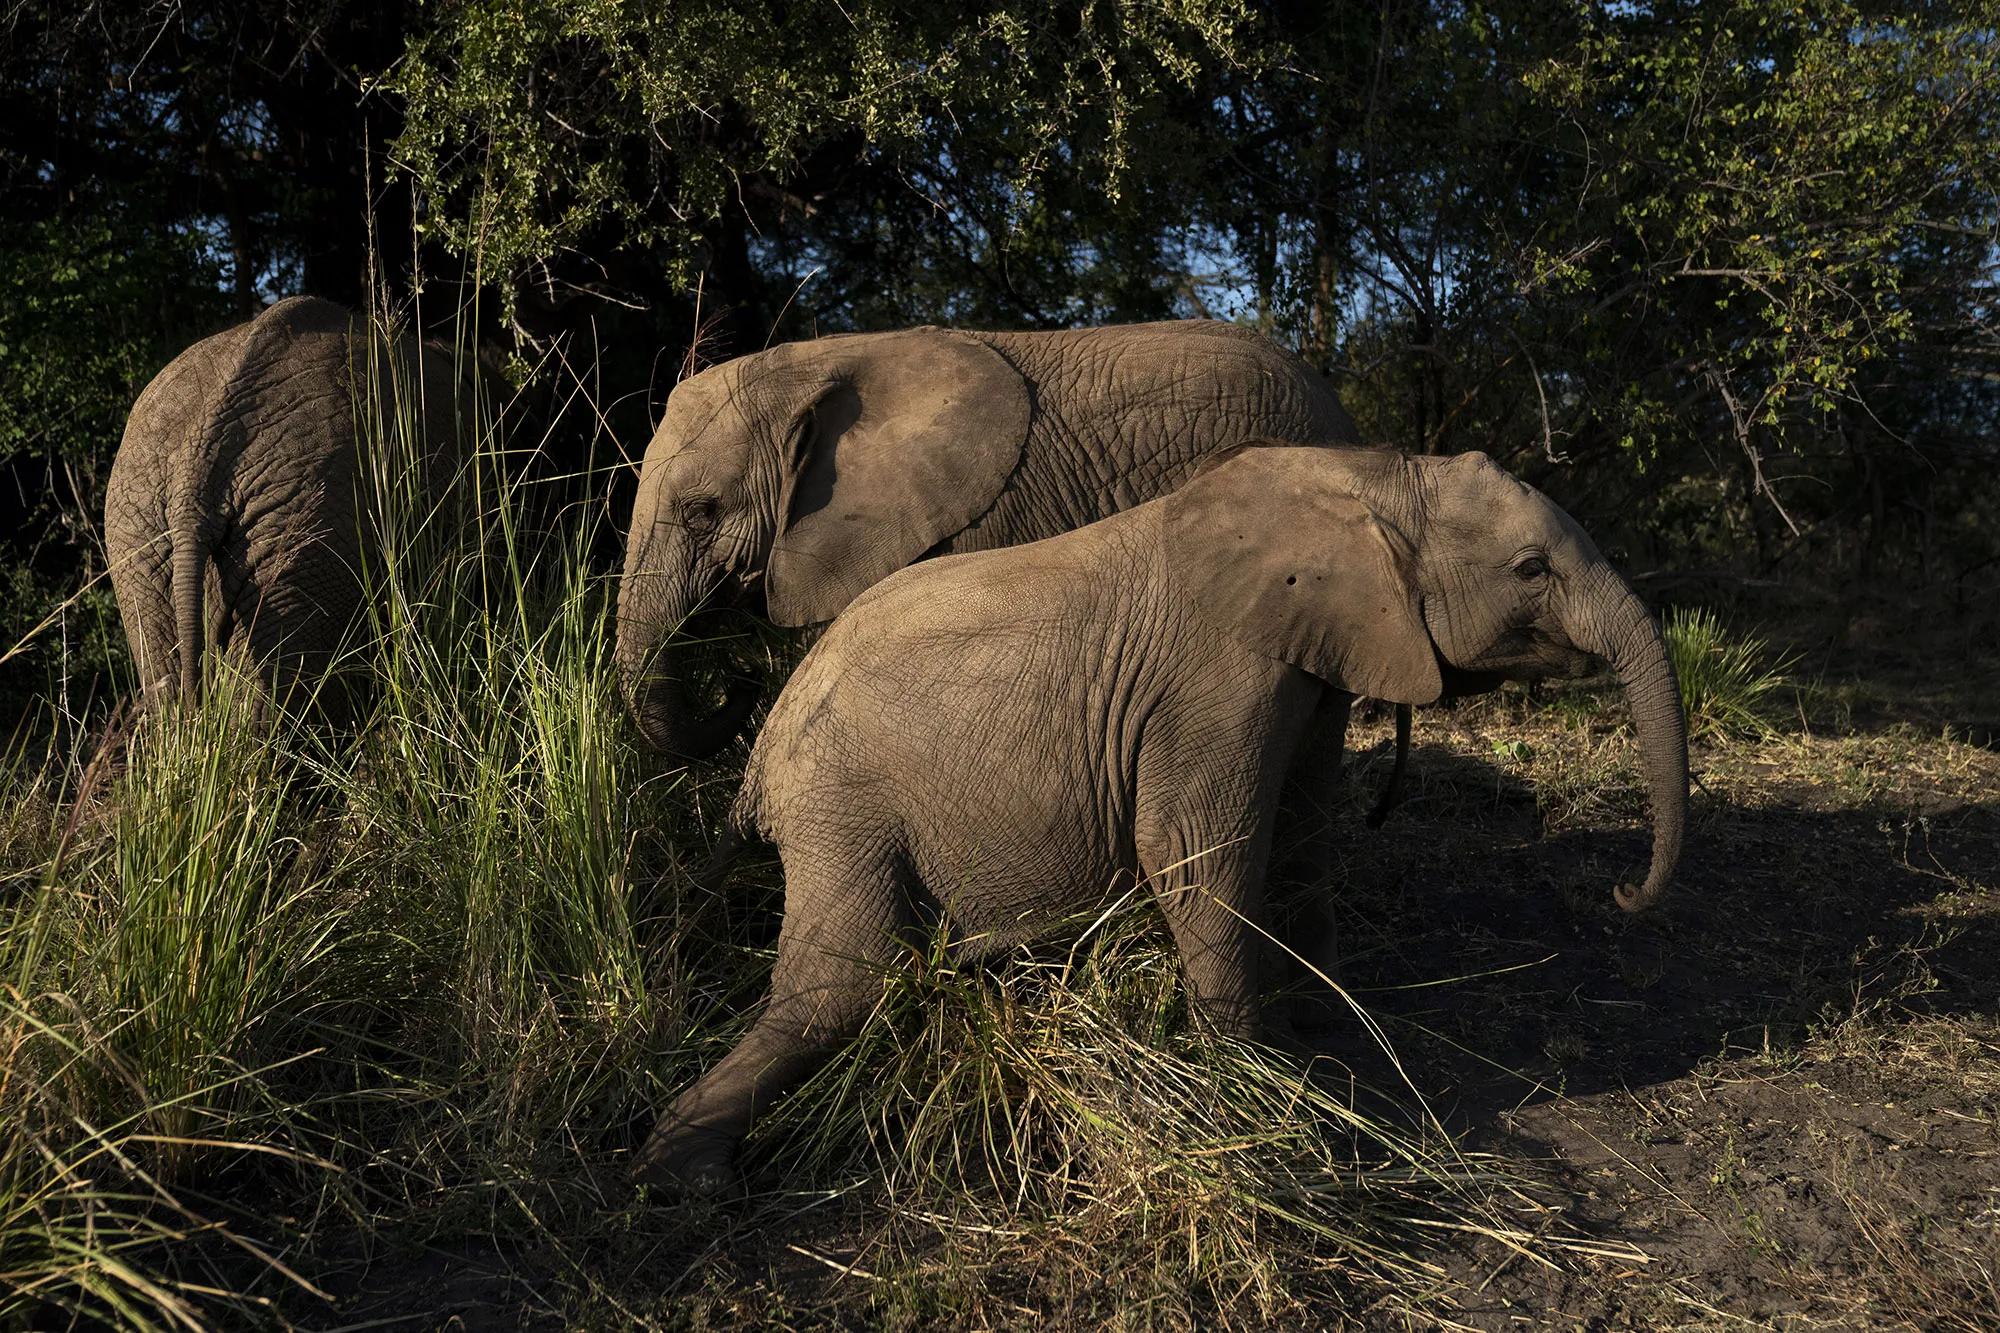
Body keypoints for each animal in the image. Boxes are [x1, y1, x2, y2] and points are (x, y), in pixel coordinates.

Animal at [634, 443, 1688, 1198]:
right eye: (1531, 569)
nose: (1626, 894)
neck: (1376, 477)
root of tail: (761, 756)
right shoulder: (1218, 676)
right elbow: (1194, 852)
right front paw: (1263, 1091)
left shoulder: (1312, 664)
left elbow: (1302, 832)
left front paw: (1324, 1028)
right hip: (842, 802)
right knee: (841, 988)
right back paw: (686, 1176)